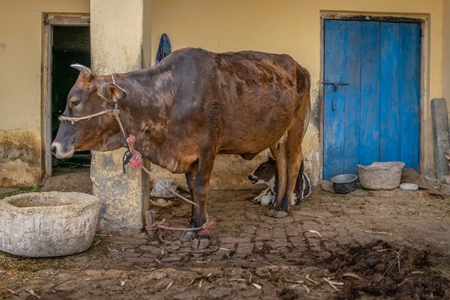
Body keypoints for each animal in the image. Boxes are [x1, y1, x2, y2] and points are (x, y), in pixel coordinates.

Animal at [51, 47, 308, 248]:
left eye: (74, 101)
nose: (54, 147)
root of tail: (298, 66)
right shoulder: (188, 154)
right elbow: (192, 190)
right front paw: (192, 227)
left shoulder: (208, 147)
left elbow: (202, 190)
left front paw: (202, 234)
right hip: (276, 135)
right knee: (280, 165)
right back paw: (276, 205)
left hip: (295, 127)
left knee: (293, 163)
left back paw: (284, 207)